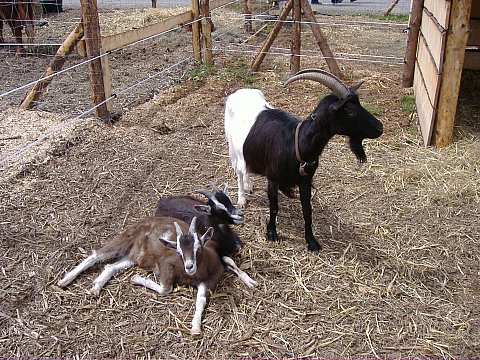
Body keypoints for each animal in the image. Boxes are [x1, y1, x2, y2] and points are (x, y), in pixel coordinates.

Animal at [224, 69, 382, 252]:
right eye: (350, 112)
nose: (380, 128)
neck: (296, 142)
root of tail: (238, 92)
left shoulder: (305, 180)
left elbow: (307, 211)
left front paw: (312, 241)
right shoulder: (273, 178)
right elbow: (274, 207)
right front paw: (271, 233)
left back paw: (249, 186)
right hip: (233, 145)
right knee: (238, 171)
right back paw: (242, 198)